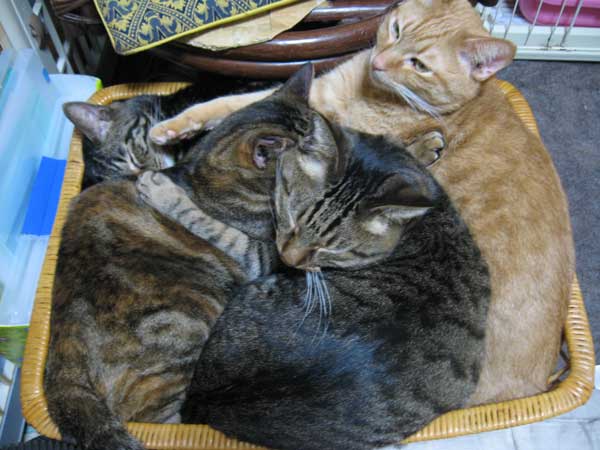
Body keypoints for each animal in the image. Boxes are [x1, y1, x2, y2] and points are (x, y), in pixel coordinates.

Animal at [149, 0, 575, 405]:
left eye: (419, 65)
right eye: (396, 29)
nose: (379, 61)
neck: (363, 90)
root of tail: (537, 383)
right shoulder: (319, 100)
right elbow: (229, 104)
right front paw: (170, 129)